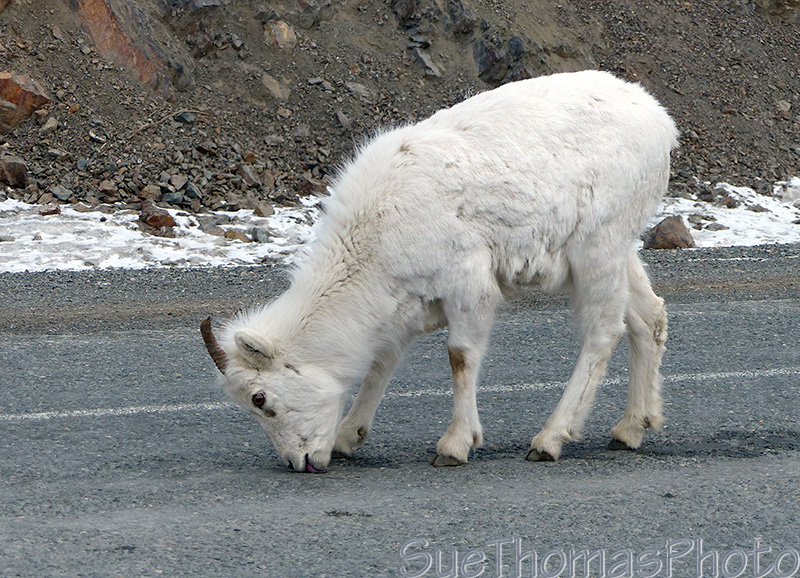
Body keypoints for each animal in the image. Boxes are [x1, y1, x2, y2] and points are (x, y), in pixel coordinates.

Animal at [201, 70, 679, 473]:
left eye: (261, 398)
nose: (299, 463)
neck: (378, 226)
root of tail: (659, 121)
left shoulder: (468, 285)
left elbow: (460, 358)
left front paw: (454, 446)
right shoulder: (409, 305)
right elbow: (381, 363)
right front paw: (346, 438)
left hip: (597, 248)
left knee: (603, 331)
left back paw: (549, 440)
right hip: (618, 251)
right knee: (648, 318)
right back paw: (630, 429)